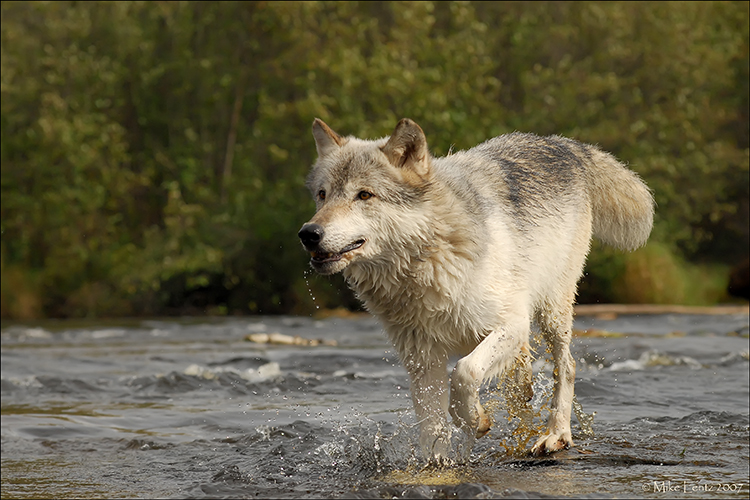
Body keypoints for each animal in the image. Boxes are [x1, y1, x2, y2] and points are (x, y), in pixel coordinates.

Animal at [296, 117, 656, 460]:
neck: (425, 266)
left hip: (551, 311)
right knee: (523, 371)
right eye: (322, 195)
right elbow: (432, 424)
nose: (308, 233)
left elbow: (465, 372)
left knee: (565, 366)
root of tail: (562, 144)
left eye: (364, 195)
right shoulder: (421, 356)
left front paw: (473, 420)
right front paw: (437, 464)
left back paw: (556, 435)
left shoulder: (511, 323)